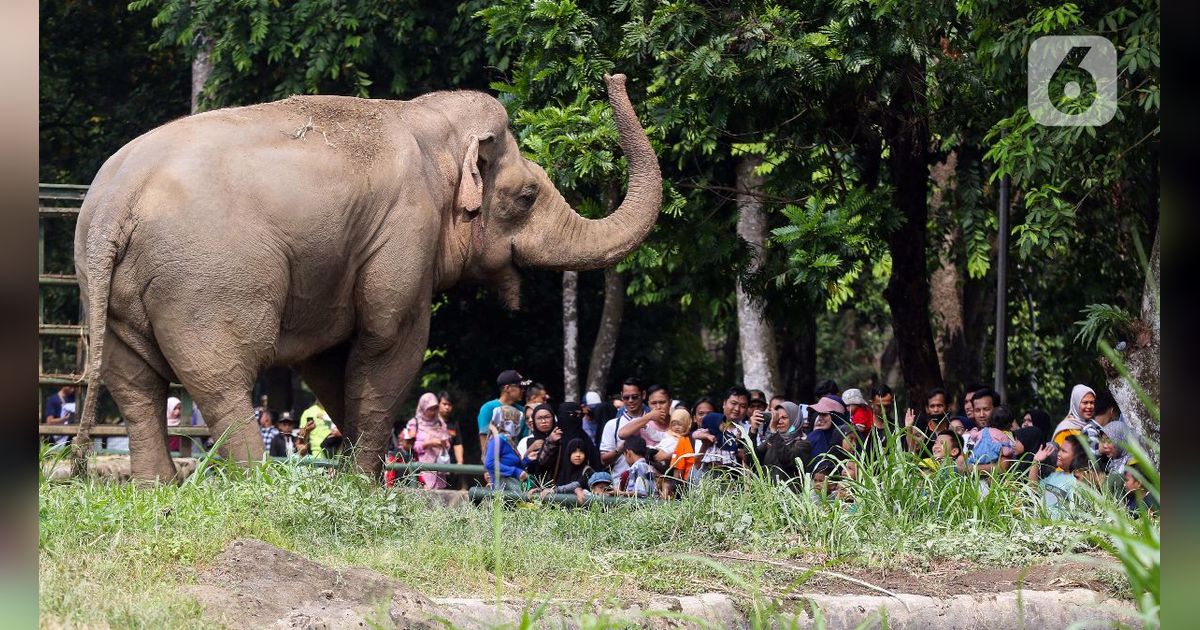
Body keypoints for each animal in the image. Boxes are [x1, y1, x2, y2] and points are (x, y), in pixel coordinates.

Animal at [76, 72, 662, 482]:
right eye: (527, 196)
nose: (615, 77)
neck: (427, 121)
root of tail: (112, 204)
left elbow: (331, 361)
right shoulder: (405, 229)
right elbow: (389, 342)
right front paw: (365, 485)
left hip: (108, 289)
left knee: (135, 387)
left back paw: (157, 488)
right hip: (207, 282)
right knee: (221, 381)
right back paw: (258, 484)